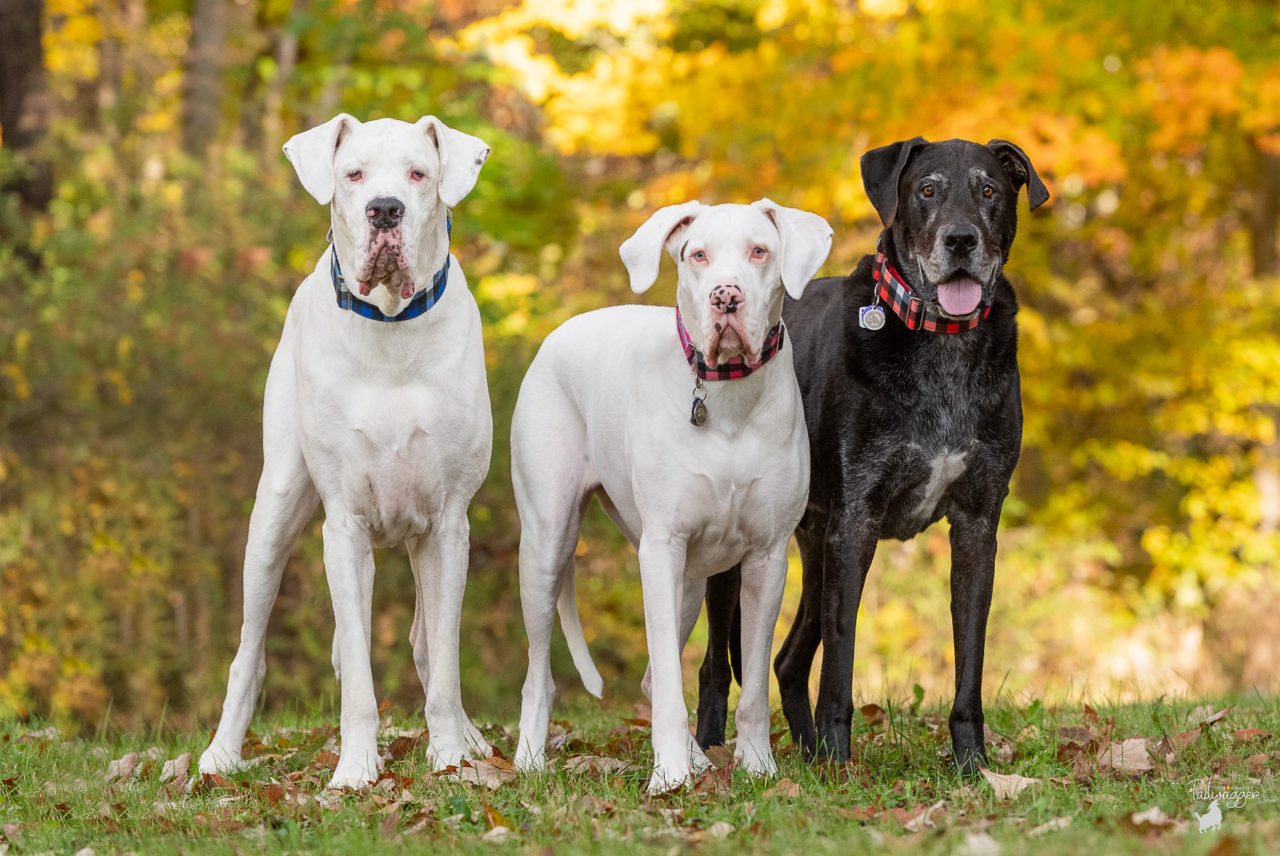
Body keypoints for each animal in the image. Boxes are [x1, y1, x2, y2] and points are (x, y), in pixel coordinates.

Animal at [199, 113, 494, 788]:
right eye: (353, 174)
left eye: (419, 174)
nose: (384, 209)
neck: (392, 327)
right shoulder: (345, 528)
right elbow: (357, 673)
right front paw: (356, 770)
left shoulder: (448, 526)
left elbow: (444, 661)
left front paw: (449, 757)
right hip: (275, 514)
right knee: (248, 654)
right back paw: (220, 755)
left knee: (427, 643)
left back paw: (467, 738)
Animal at [514, 197, 834, 793]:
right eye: (697, 255)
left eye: (760, 251)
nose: (726, 297)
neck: (728, 394)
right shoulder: (661, 551)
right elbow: (668, 684)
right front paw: (668, 777)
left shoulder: (767, 559)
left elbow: (753, 684)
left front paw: (757, 765)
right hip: (549, 545)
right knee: (541, 672)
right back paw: (528, 759)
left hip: (689, 583)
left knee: (647, 678)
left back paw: (701, 760)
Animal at [701, 136, 1049, 772]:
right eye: (927, 189)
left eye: (989, 189)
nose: (960, 240)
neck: (942, 341)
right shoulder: (856, 523)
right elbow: (841, 657)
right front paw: (840, 763)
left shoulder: (976, 525)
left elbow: (970, 656)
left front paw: (973, 766)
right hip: (737, 548)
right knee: (716, 665)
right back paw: (715, 754)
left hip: (814, 544)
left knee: (787, 660)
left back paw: (806, 753)